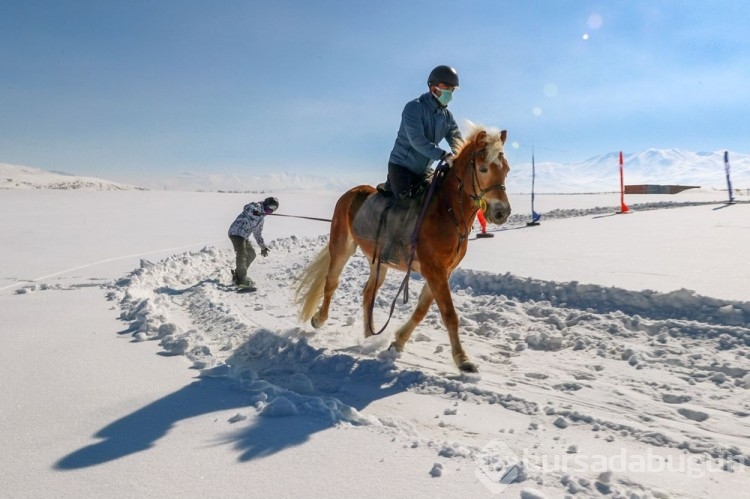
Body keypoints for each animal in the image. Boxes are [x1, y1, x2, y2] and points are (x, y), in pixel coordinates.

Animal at [296, 123, 516, 374]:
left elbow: (421, 310)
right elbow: (450, 315)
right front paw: (463, 360)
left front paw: (398, 342)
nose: (501, 212)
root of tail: (350, 193)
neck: (447, 211)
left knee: (368, 293)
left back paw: (370, 335)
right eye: (482, 168)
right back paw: (319, 319)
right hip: (342, 247)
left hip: (378, 263)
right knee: (331, 282)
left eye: (506, 169)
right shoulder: (434, 271)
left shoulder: (443, 272)